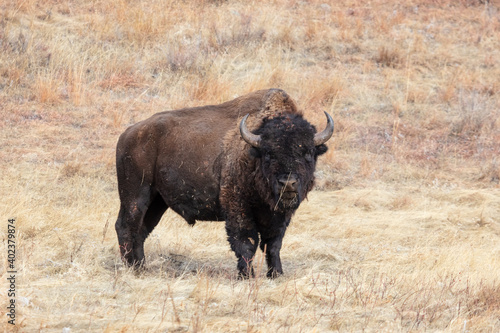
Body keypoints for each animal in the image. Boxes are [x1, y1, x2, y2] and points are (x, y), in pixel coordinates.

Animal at [115, 88, 334, 278]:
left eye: (307, 153)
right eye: (268, 154)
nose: (288, 183)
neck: (253, 152)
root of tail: (128, 134)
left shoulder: (279, 215)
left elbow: (273, 244)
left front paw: (276, 274)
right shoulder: (237, 207)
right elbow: (246, 242)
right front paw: (247, 276)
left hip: (158, 202)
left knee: (141, 230)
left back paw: (141, 268)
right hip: (136, 195)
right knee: (126, 226)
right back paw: (131, 268)